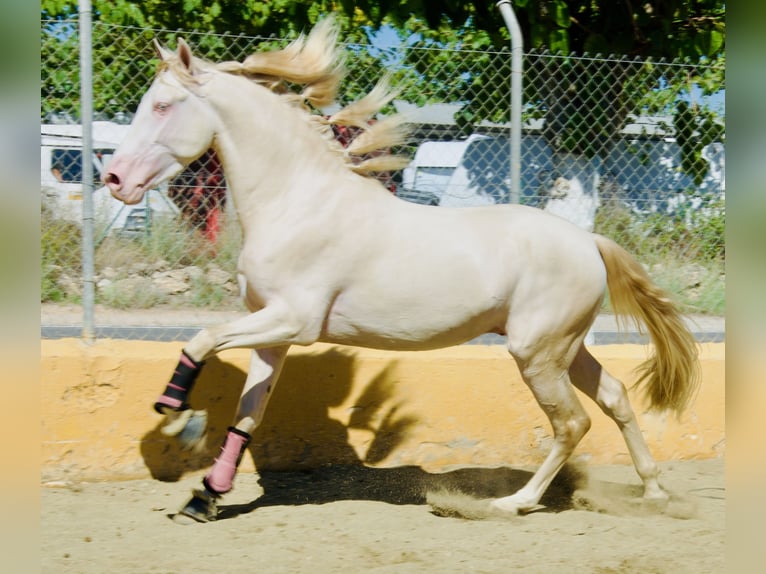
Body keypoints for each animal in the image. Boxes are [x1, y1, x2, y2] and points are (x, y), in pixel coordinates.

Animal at [104, 18, 699, 523]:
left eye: (162, 106)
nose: (115, 179)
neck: (296, 201)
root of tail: (588, 241)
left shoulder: (294, 320)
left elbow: (202, 340)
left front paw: (176, 419)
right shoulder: (273, 333)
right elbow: (248, 413)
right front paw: (206, 496)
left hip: (537, 353)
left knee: (572, 422)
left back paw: (512, 503)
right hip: (562, 349)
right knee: (616, 397)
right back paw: (653, 493)